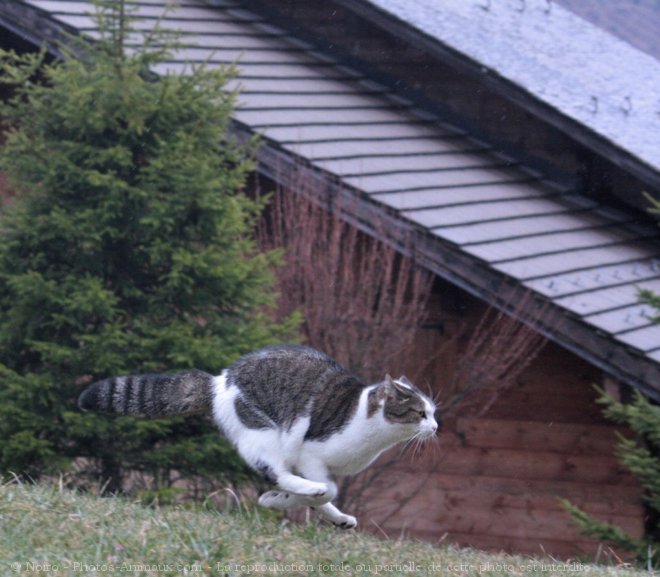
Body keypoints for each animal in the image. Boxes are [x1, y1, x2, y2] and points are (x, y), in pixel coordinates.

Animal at [78, 342, 438, 528]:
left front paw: (305, 507)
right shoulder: (310, 455)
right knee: (276, 470)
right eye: (420, 414)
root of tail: (219, 381)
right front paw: (289, 498)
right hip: (263, 431)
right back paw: (302, 490)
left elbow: (325, 496)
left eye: (433, 412)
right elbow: (329, 489)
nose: (435, 428)